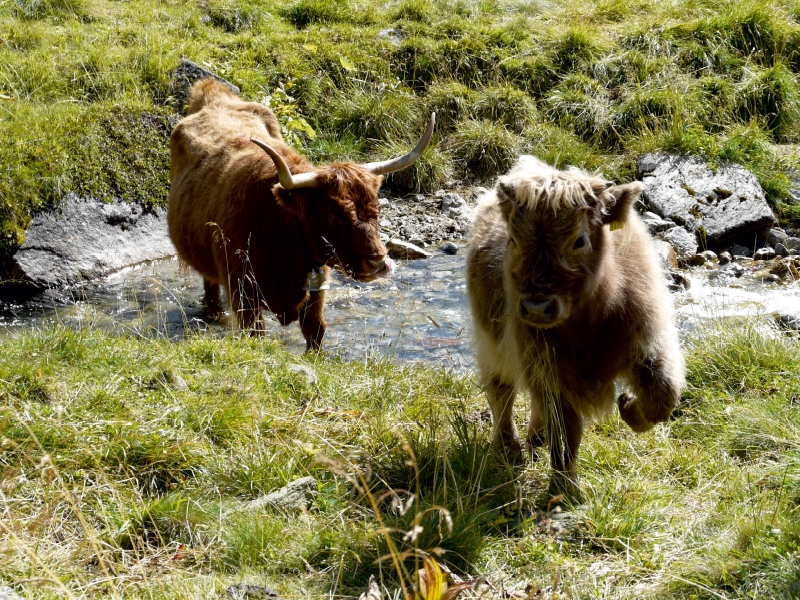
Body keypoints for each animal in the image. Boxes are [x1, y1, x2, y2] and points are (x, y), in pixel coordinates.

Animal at [166, 79, 434, 352]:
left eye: (376, 211)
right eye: (333, 216)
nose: (379, 263)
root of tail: (212, 92)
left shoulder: (316, 291)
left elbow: (315, 330)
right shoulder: (243, 291)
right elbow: (255, 333)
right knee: (210, 288)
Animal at [466, 156, 684, 502]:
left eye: (579, 241)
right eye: (513, 240)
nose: (537, 307)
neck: (587, 326)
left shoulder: (650, 343)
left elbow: (663, 395)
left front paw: (629, 408)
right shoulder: (545, 368)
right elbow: (565, 432)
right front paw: (566, 491)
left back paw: (535, 439)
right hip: (492, 340)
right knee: (501, 391)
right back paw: (509, 448)